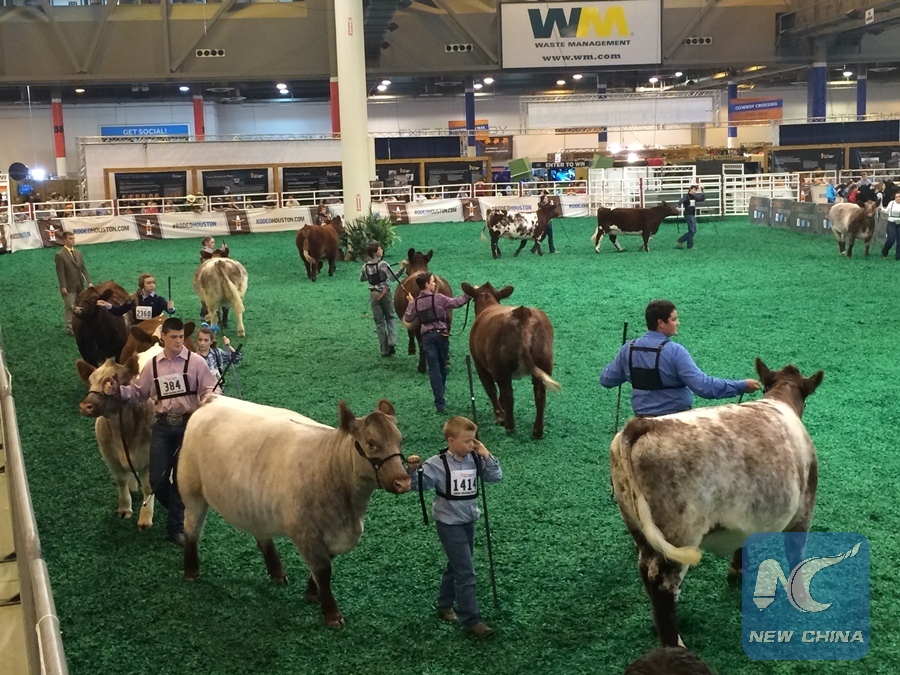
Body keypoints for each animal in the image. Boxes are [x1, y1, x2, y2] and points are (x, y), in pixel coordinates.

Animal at [76, 355, 155, 530]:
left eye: (112, 381)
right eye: (90, 382)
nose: (85, 407)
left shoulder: (150, 460)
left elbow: (148, 487)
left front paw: (145, 517)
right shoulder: (110, 457)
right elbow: (121, 481)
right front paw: (125, 508)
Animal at [177, 396, 411, 626]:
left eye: (400, 440)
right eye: (371, 443)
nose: (403, 482)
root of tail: (213, 399)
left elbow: (323, 565)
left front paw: (312, 593)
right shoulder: (304, 531)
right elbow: (323, 570)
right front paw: (332, 614)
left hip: (253, 502)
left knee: (262, 535)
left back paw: (276, 573)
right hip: (191, 490)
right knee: (192, 529)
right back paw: (191, 571)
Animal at [461, 282, 560, 439]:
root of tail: (522, 313)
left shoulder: (479, 364)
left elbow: (491, 390)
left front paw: (499, 417)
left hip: (500, 367)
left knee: (507, 394)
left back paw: (509, 426)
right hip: (544, 361)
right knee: (540, 395)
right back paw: (537, 431)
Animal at [609, 358, 823, 648]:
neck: (779, 400)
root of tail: (642, 425)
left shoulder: (747, 517)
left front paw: (737, 572)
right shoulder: (803, 510)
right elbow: (796, 555)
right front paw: (799, 596)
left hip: (639, 528)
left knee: (644, 569)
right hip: (680, 536)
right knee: (662, 583)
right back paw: (675, 643)